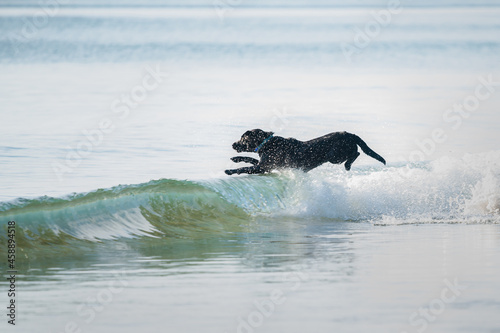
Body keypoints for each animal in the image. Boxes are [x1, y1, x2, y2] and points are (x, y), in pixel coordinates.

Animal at [225, 129, 384, 175]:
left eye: (243, 138)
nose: (233, 144)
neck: (268, 144)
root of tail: (349, 134)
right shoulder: (264, 165)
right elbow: (248, 159)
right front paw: (235, 158)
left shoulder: (263, 167)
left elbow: (245, 167)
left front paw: (230, 171)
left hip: (334, 156)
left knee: (356, 153)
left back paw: (348, 165)